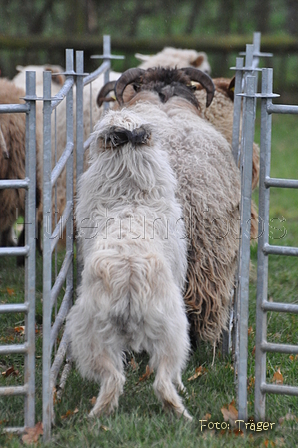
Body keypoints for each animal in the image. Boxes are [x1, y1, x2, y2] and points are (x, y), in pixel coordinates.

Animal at [65, 107, 192, 420]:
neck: (129, 196)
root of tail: (129, 271)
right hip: (173, 333)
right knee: (161, 380)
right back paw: (182, 412)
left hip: (95, 338)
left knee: (117, 380)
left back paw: (97, 417)